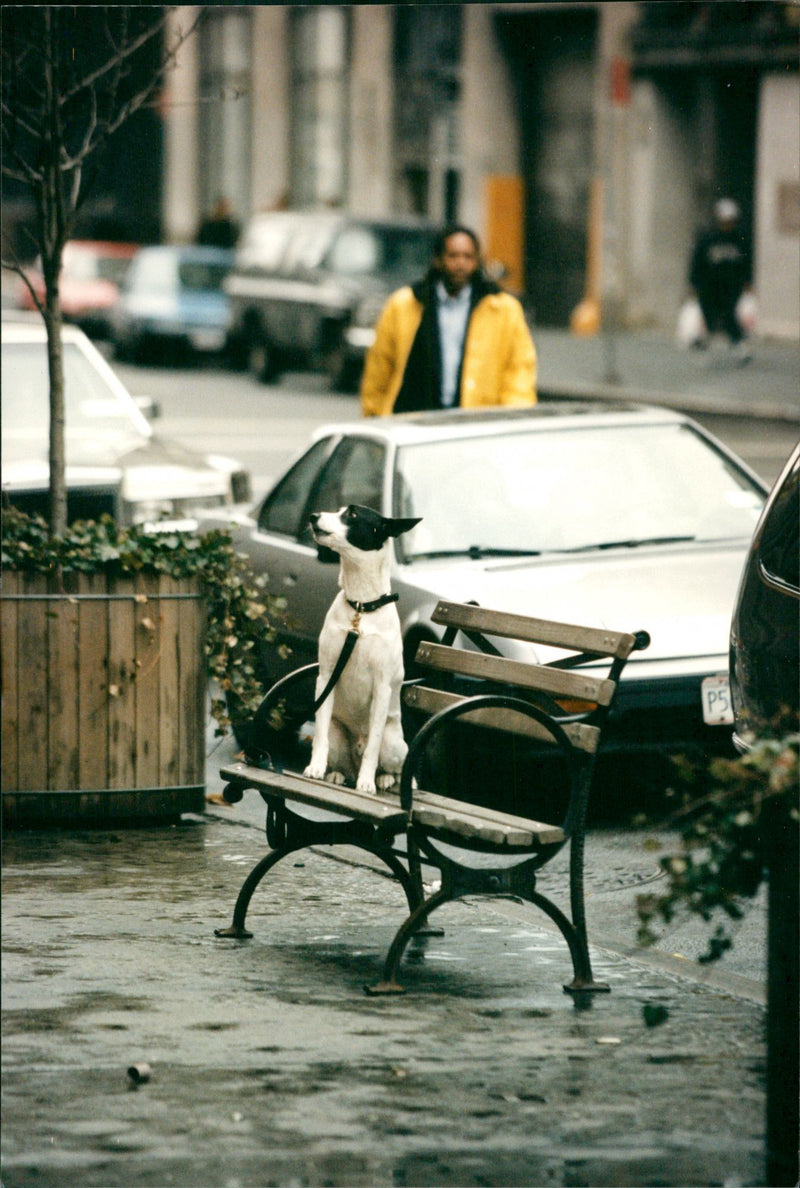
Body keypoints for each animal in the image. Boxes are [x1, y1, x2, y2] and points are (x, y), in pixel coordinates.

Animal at [304, 506, 420, 793]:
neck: (361, 607)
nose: (313, 516)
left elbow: (373, 748)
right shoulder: (326, 676)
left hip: (394, 744)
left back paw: (385, 778)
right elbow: (319, 737)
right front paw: (316, 767)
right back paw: (336, 774)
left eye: (353, 515)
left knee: (392, 765)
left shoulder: (382, 687)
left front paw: (366, 782)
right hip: (336, 732)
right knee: (339, 758)